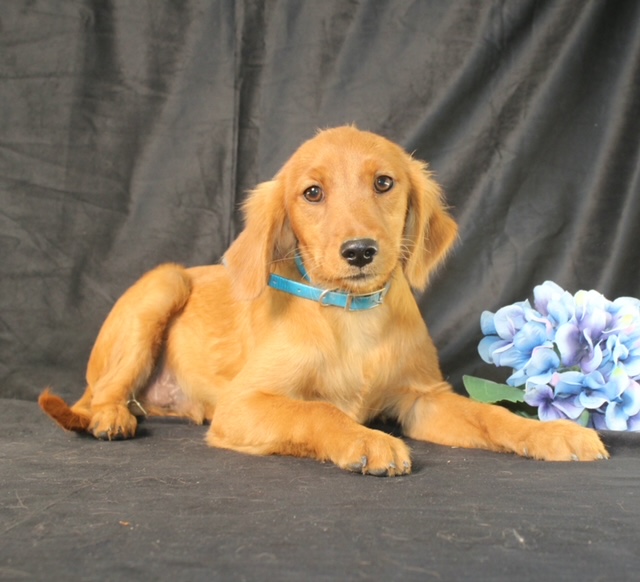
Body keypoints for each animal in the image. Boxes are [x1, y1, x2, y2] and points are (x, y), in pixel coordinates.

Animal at [37, 125, 608, 476]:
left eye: (384, 183)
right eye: (312, 193)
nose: (359, 251)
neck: (352, 318)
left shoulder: (423, 399)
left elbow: (492, 417)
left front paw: (555, 435)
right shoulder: (243, 405)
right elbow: (317, 413)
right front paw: (366, 440)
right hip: (164, 286)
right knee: (98, 395)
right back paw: (112, 417)